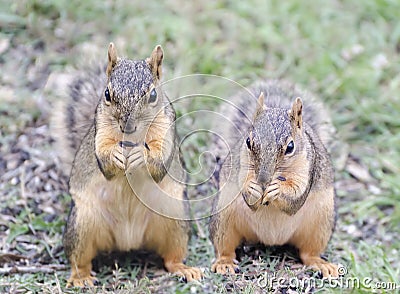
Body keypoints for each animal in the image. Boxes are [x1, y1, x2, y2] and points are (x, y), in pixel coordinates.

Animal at [51, 42, 202, 286]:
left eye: (153, 95)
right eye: (107, 94)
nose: (126, 125)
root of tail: (128, 240)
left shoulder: (166, 128)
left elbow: (159, 164)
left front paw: (141, 155)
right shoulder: (101, 129)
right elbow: (104, 162)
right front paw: (115, 156)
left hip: (175, 221)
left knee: (172, 257)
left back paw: (184, 269)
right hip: (82, 224)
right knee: (79, 259)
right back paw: (81, 278)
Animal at [209, 80, 338, 278]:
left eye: (290, 147)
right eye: (248, 142)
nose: (263, 180)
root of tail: (271, 239)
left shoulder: (309, 168)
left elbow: (295, 199)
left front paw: (278, 189)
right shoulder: (242, 164)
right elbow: (249, 197)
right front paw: (251, 187)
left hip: (320, 225)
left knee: (309, 253)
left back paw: (320, 264)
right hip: (223, 218)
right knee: (225, 247)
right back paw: (225, 263)